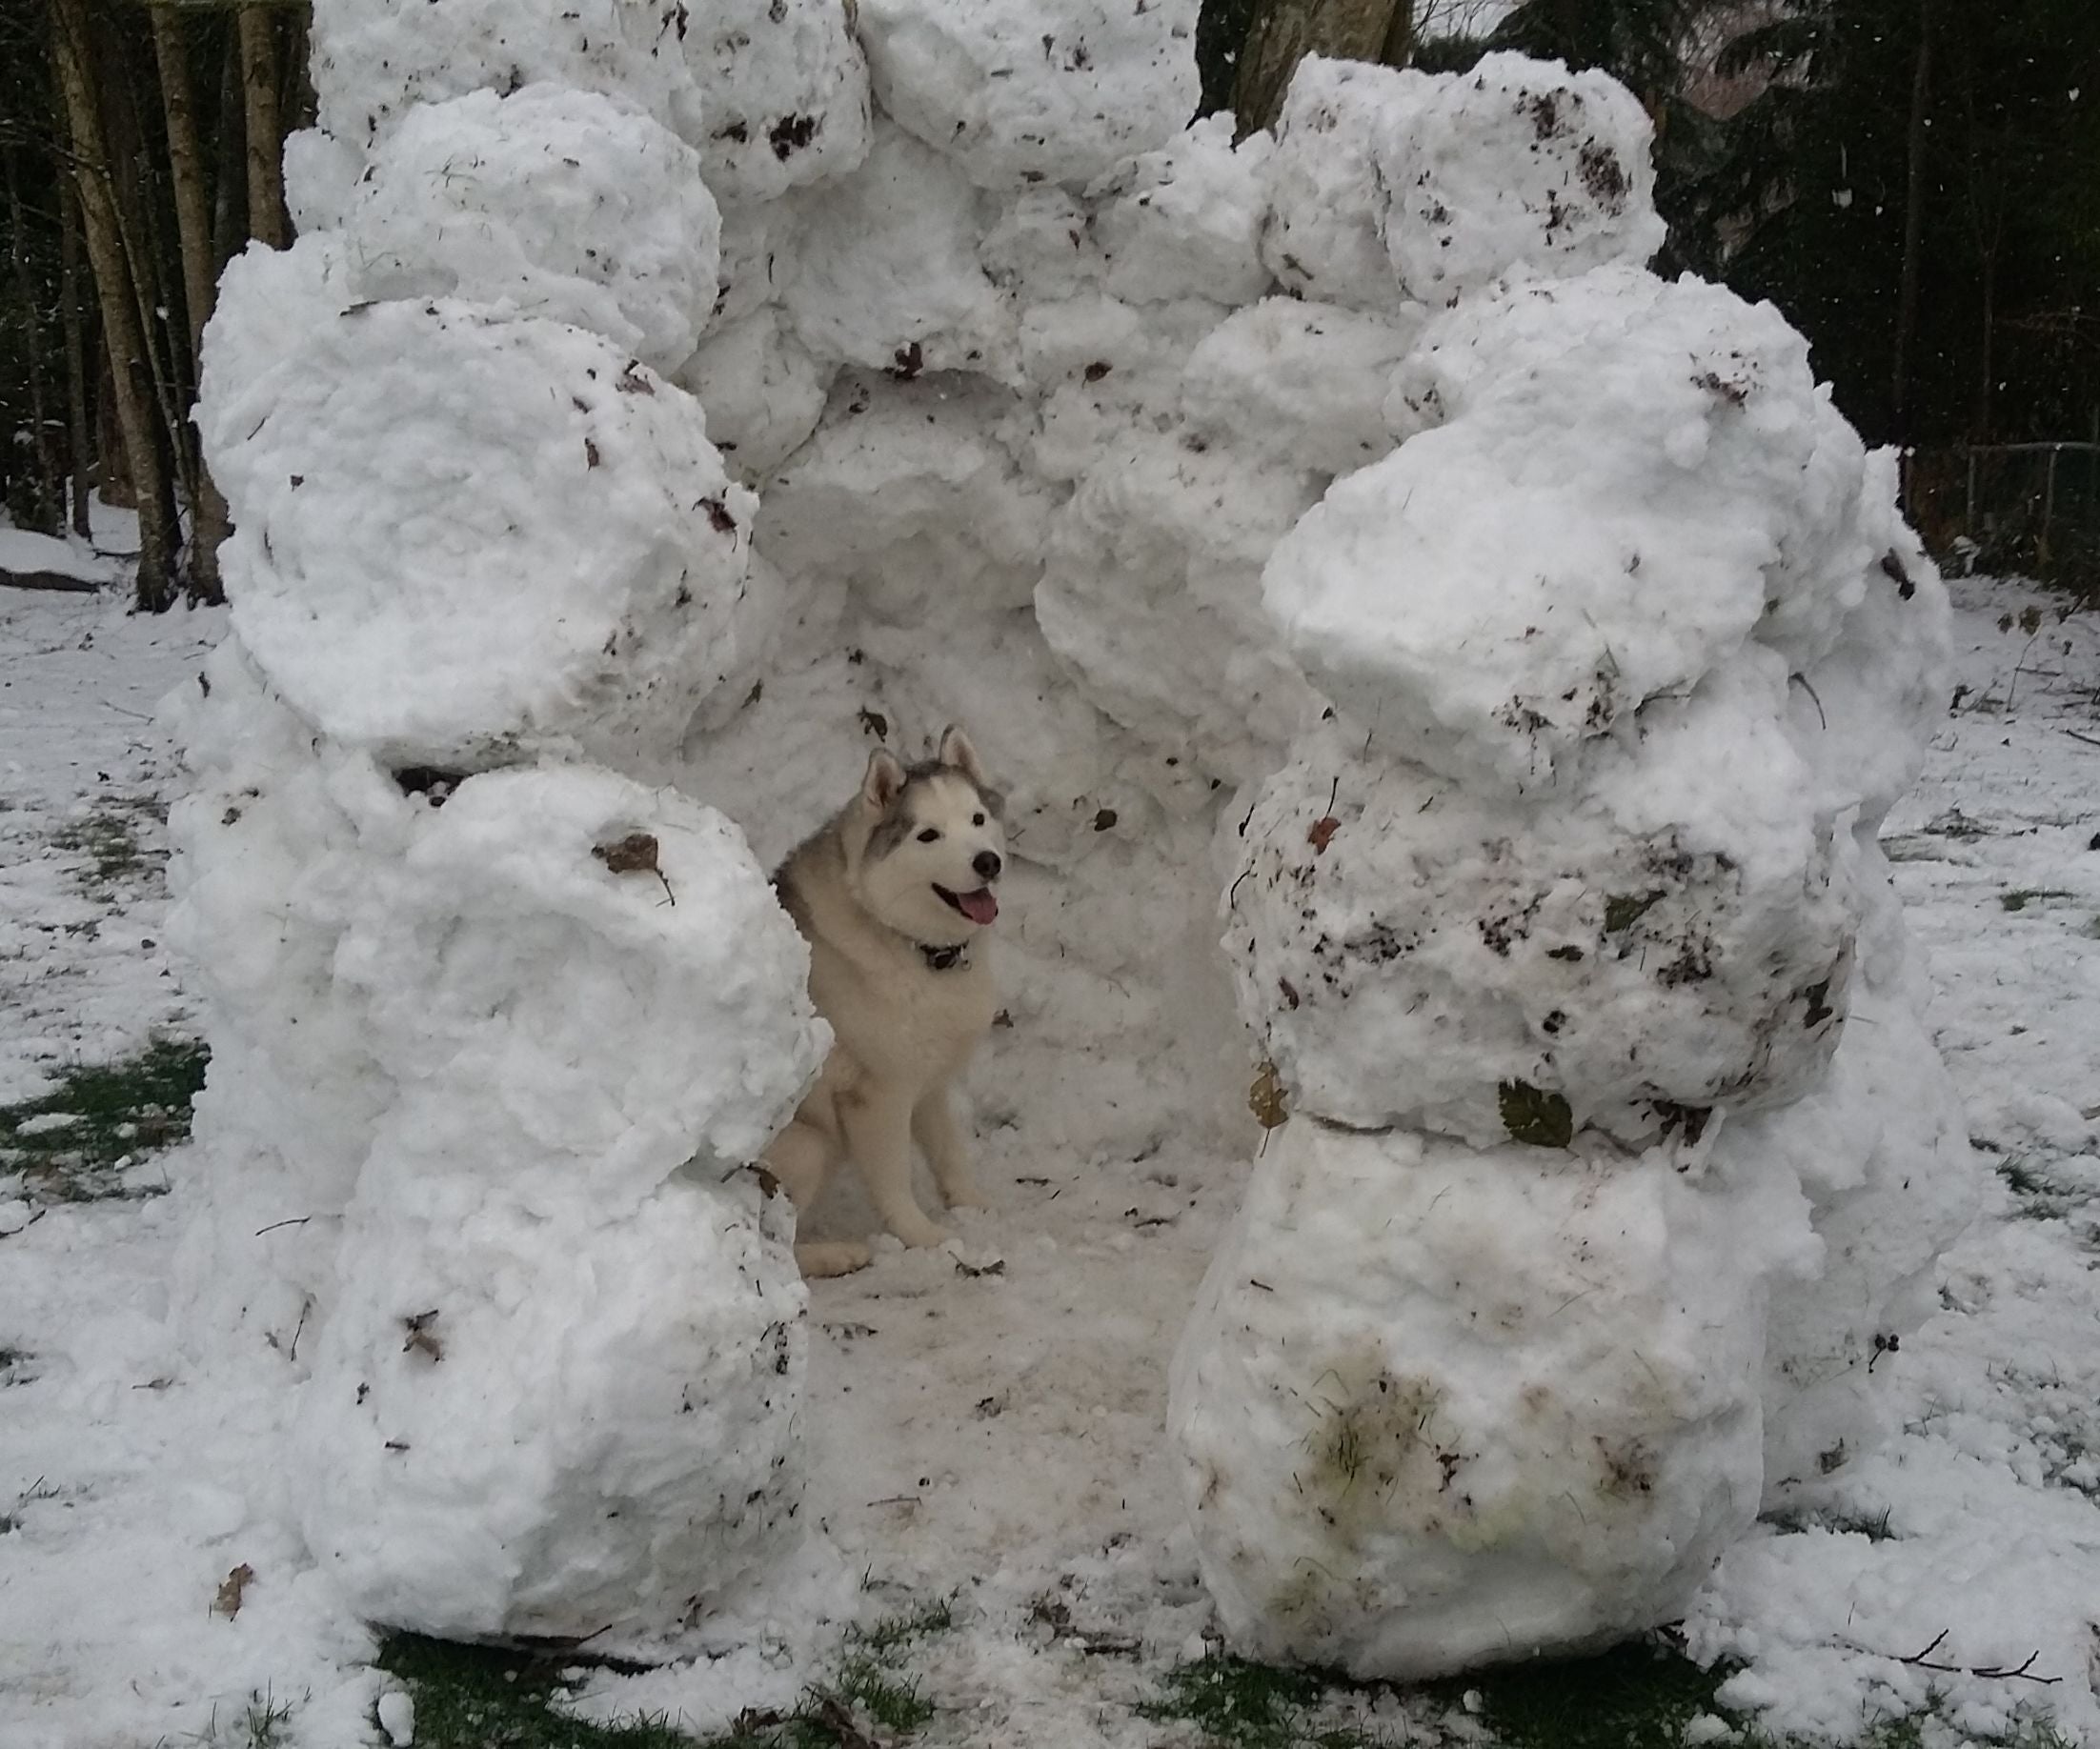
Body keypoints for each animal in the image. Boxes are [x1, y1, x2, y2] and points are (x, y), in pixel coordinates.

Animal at [764, 717, 1007, 1277]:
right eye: (928, 835)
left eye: (978, 818)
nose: (988, 862)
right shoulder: (879, 1096)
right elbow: (894, 1181)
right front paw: (925, 1238)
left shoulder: (929, 1080)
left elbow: (948, 1152)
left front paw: (971, 1206)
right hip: (809, 1143)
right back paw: (835, 1254)